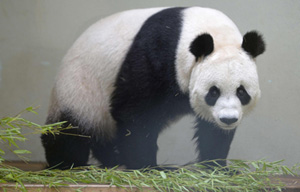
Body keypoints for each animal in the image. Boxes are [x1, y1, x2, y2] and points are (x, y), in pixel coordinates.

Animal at [41, 6, 264, 170]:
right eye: (213, 92)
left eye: (242, 92)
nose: (228, 119)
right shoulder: (157, 52)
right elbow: (133, 111)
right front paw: (147, 166)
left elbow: (211, 130)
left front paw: (218, 167)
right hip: (79, 90)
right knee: (69, 131)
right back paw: (67, 163)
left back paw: (112, 159)